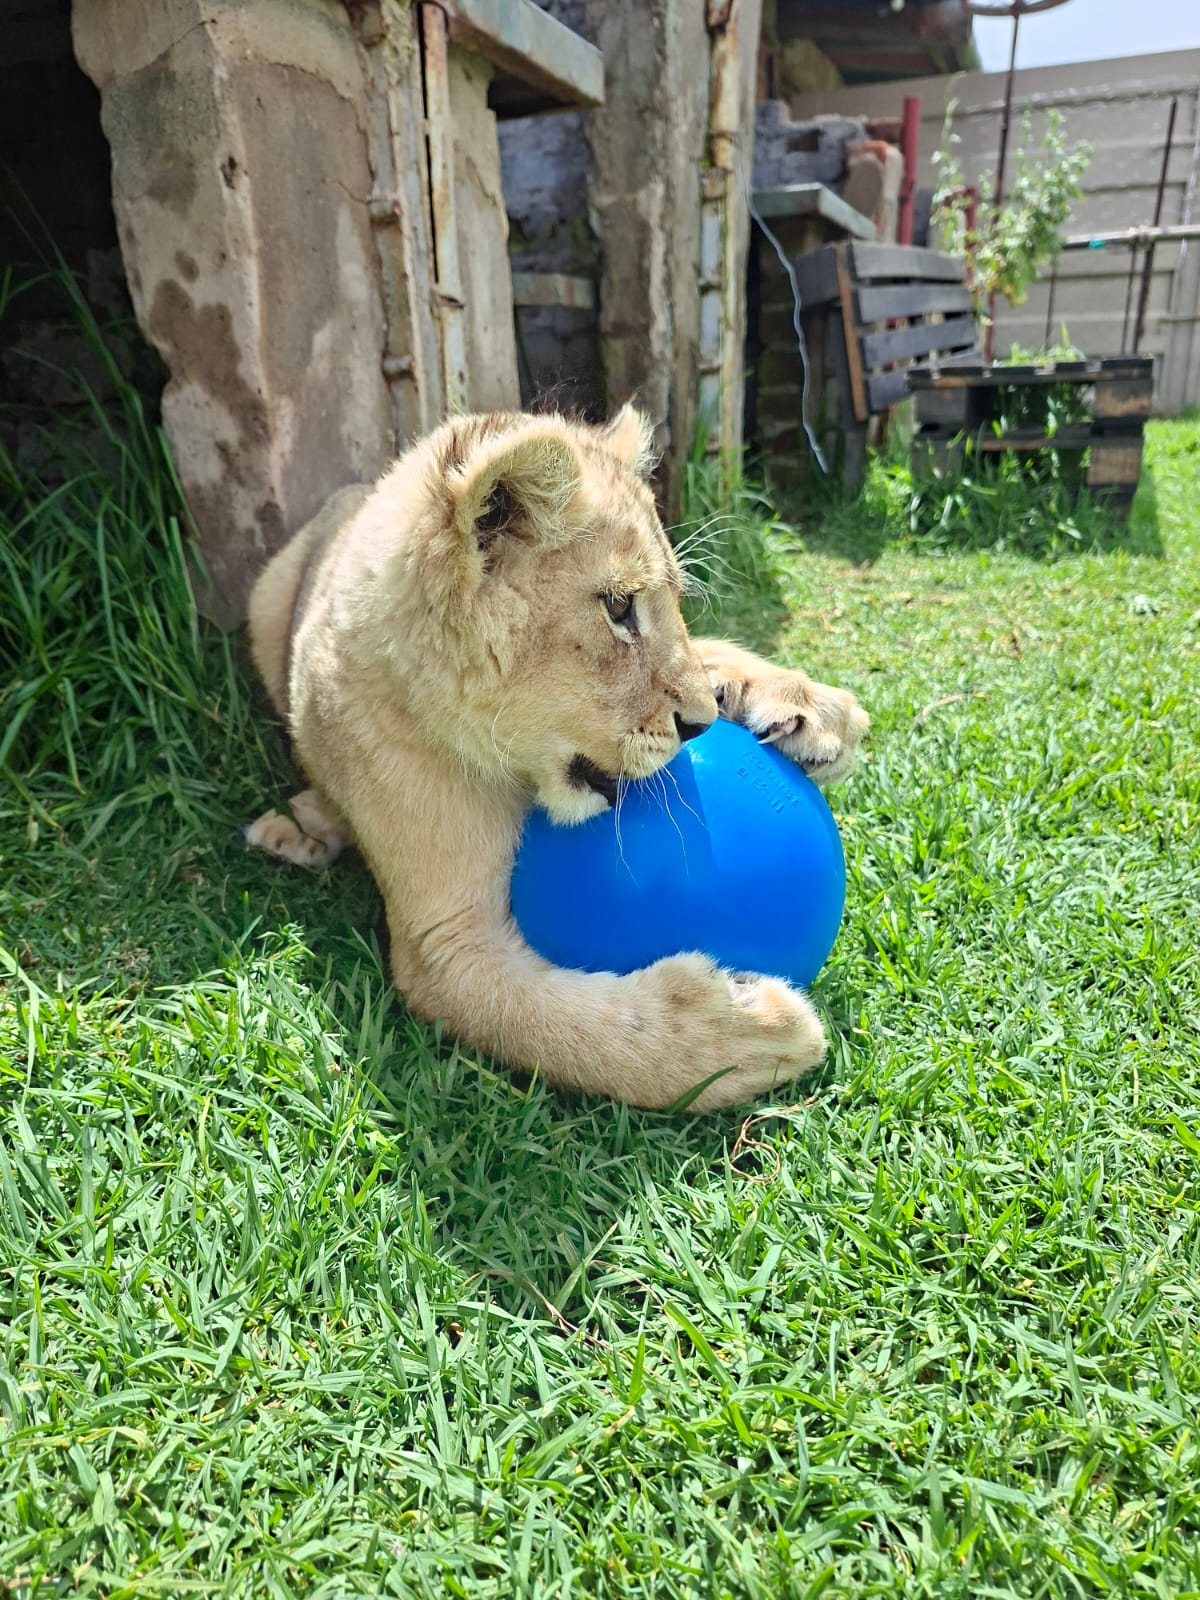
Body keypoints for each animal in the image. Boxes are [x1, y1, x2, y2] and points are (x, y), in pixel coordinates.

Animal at [244, 407, 867, 1111]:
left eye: (674, 600)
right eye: (619, 607)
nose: (700, 726)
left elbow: (708, 654)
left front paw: (811, 710)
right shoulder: (445, 948)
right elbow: (573, 1032)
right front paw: (752, 1035)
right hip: (265, 602)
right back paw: (301, 829)